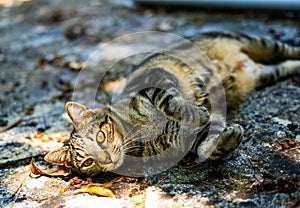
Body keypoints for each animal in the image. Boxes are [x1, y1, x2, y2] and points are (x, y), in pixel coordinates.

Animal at [44, 32, 300, 176]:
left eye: (100, 136)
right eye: (88, 162)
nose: (106, 159)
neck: (136, 135)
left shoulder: (156, 80)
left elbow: (171, 102)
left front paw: (199, 113)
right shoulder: (179, 140)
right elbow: (206, 146)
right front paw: (224, 140)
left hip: (262, 44)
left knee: (290, 49)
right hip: (267, 73)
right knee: (285, 65)